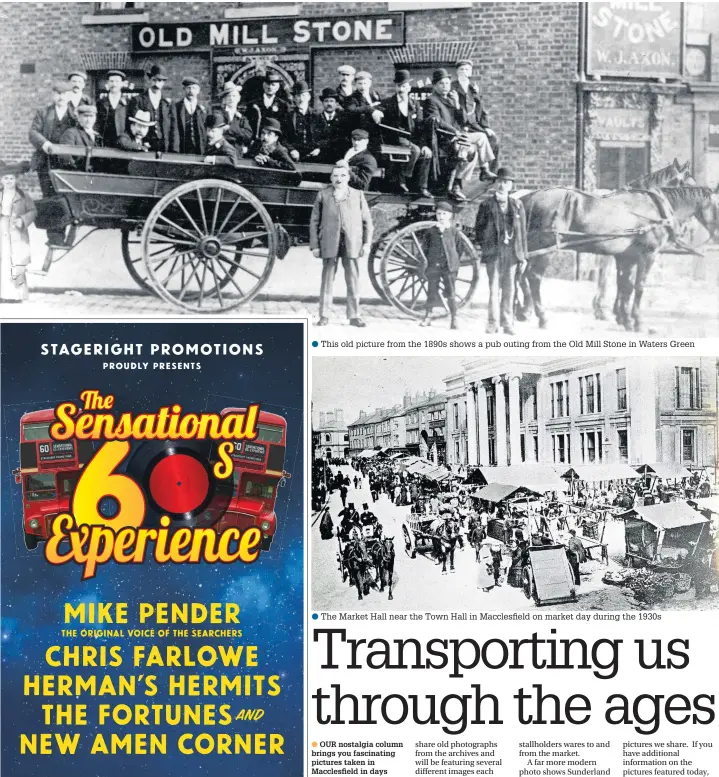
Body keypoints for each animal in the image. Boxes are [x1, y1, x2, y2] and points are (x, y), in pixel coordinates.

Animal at [516, 185, 719, 330]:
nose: (716, 237)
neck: (656, 209)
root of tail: (530, 197)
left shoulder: (626, 257)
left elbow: (625, 285)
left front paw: (624, 318)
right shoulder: (648, 255)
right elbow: (638, 287)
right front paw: (637, 320)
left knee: (521, 275)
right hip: (545, 249)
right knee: (533, 277)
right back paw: (541, 317)